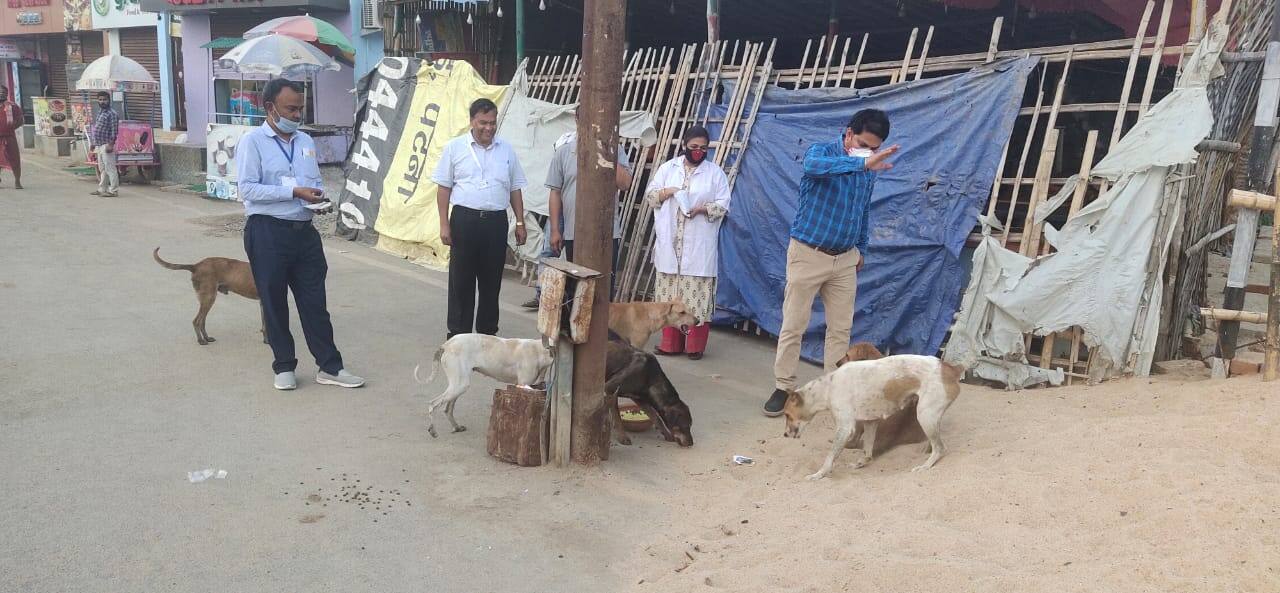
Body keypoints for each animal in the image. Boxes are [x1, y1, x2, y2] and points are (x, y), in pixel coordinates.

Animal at [409, 335, 550, 438]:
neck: (539, 350)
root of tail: (447, 344)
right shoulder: (522, 385)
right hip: (460, 385)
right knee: (433, 404)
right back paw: (433, 430)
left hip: (457, 387)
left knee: (448, 409)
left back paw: (457, 427)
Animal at [778, 356, 962, 481]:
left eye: (787, 415)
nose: (785, 435)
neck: (827, 387)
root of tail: (951, 368)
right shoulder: (870, 422)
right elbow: (867, 451)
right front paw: (860, 464)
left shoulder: (845, 429)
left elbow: (830, 457)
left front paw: (819, 474)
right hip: (929, 417)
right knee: (935, 443)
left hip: (925, 415)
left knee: (940, 448)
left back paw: (925, 466)